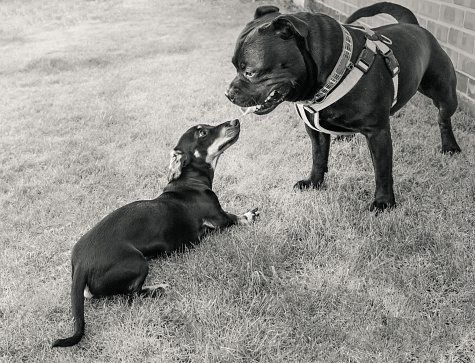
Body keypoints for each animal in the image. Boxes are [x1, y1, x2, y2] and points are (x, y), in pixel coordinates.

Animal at [227, 2, 462, 212]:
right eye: (234, 66)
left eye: (250, 72)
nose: (228, 94)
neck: (336, 70)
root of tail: (414, 25)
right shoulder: (314, 131)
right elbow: (318, 157)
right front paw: (314, 182)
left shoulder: (377, 132)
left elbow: (382, 171)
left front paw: (384, 202)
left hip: (445, 94)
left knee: (443, 117)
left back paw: (450, 146)